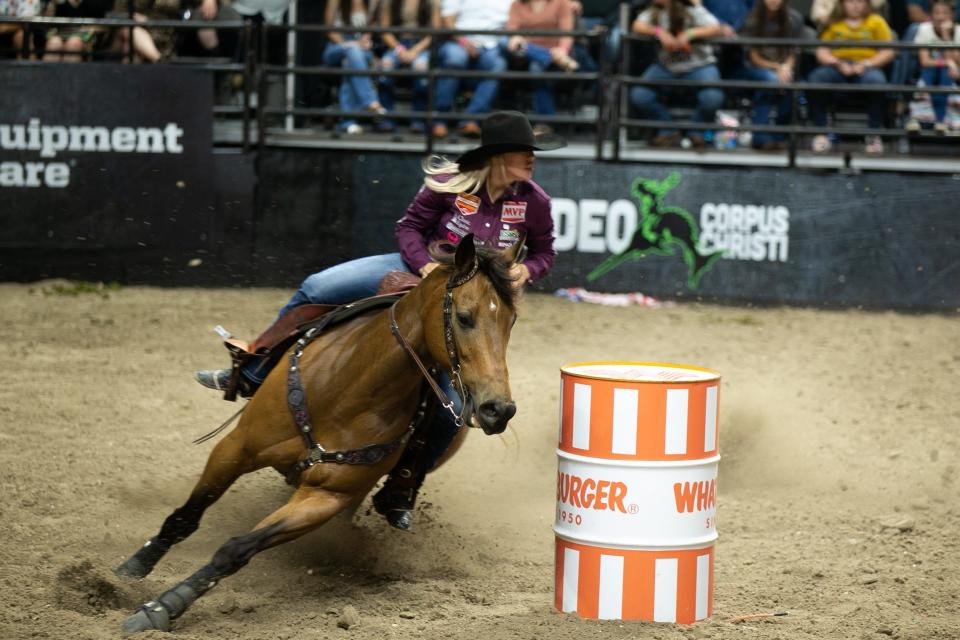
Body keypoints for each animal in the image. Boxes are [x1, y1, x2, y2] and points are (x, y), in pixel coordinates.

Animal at [115, 238, 520, 632]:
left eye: (511, 322)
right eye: (464, 317)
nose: (498, 410)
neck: (350, 390)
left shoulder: (328, 496)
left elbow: (237, 549)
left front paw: (161, 607)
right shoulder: (236, 447)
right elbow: (187, 515)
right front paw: (133, 568)